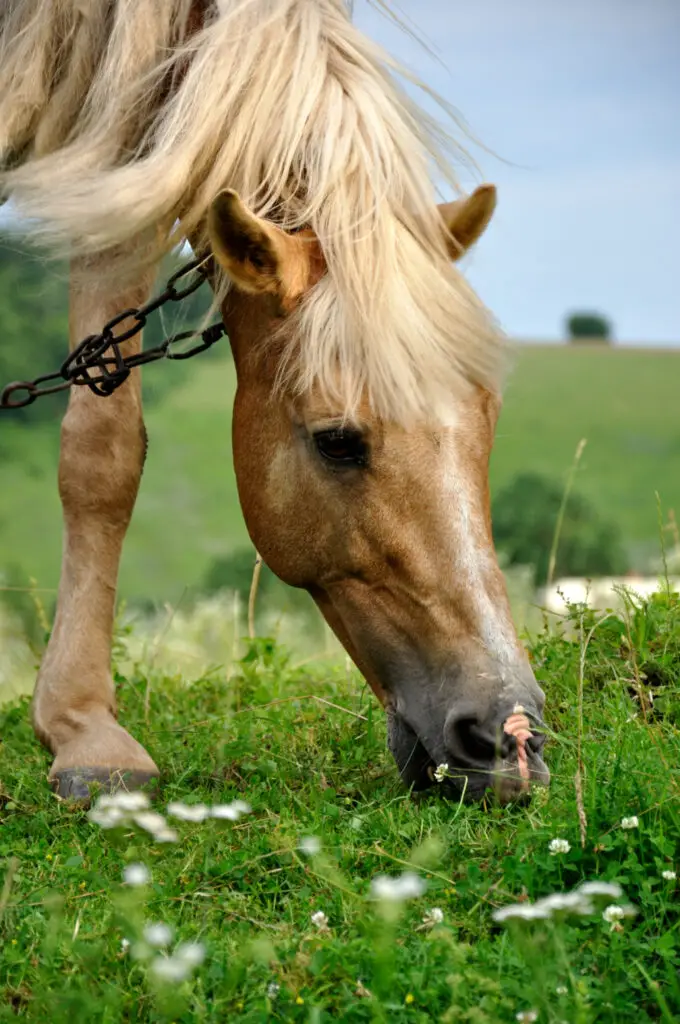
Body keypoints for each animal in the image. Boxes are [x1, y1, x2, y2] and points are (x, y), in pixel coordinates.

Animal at [0, 0, 548, 806]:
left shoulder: (122, 158)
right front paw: (82, 728)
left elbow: (107, 444)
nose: (509, 736)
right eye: (337, 441)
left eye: (489, 419)